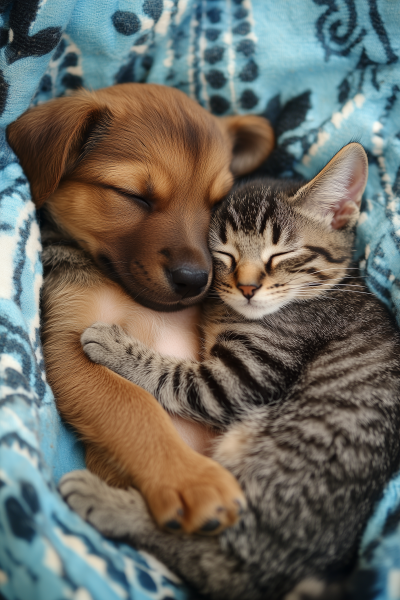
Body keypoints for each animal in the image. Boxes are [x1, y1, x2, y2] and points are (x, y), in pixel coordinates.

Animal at [7, 83, 276, 536]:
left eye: (217, 203)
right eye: (133, 196)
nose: (194, 279)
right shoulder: (67, 345)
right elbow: (133, 406)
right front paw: (192, 480)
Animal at [61, 145, 400, 600]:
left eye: (281, 255)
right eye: (224, 255)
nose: (248, 287)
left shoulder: (243, 376)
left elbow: (177, 378)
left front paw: (112, 344)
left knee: (211, 555)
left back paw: (103, 501)